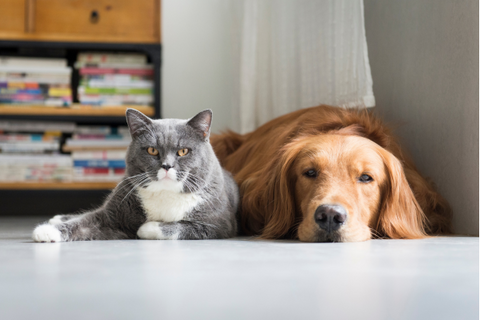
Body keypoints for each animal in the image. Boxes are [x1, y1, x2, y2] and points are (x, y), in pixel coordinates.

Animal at [31, 109, 238, 241]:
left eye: (183, 151)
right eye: (152, 150)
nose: (167, 165)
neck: (165, 193)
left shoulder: (220, 226)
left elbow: (184, 226)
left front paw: (147, 227)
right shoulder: (111, 215)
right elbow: (83, 222)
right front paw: (47, 231)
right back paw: (57, 218)